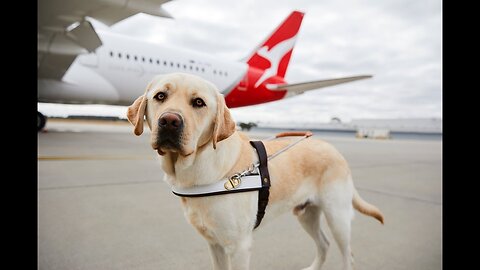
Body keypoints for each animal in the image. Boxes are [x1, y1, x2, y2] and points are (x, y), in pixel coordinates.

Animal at [126, 73, 382, 268]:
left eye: (198, 102)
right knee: (324, 245)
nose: (169, 121)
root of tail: (334, 148)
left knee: (347, 255)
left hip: (337, 216)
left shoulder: (239, 247)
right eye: (160, 96)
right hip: (306, 214)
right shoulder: (214, 244)